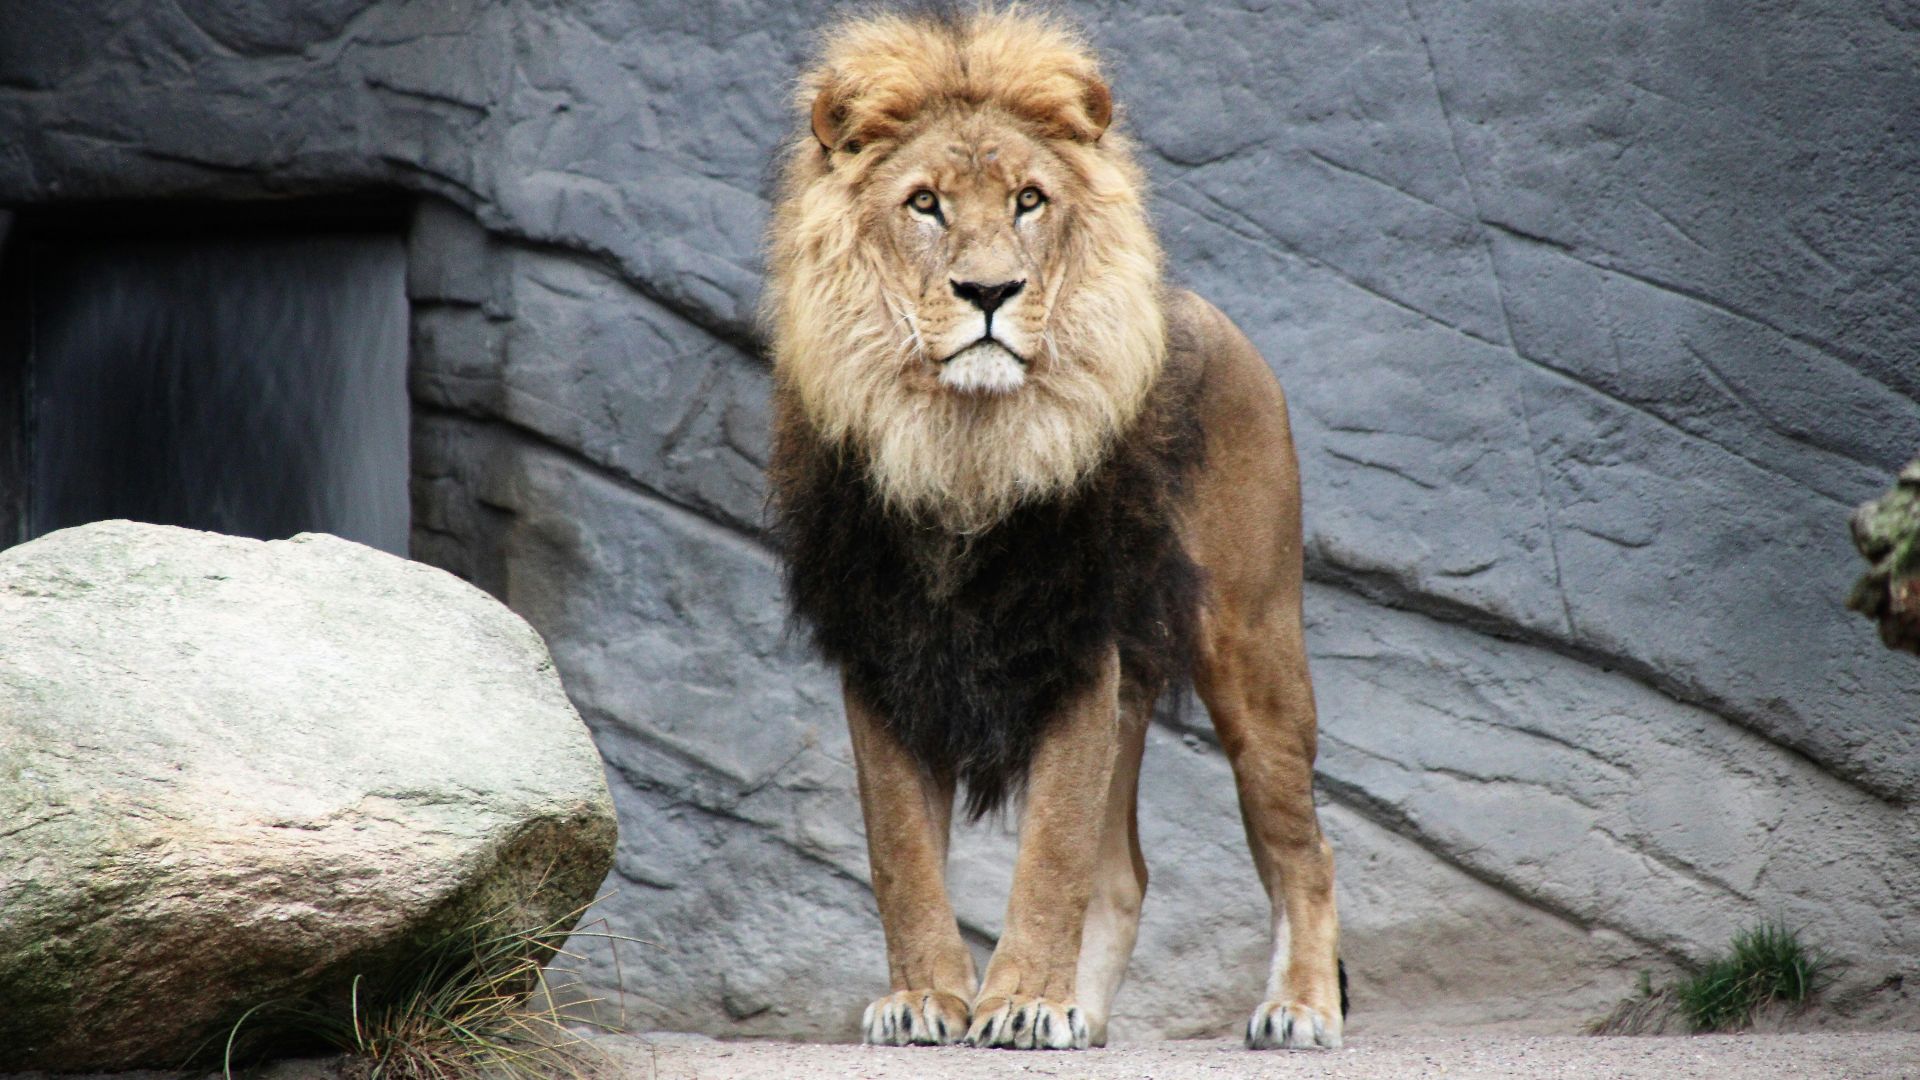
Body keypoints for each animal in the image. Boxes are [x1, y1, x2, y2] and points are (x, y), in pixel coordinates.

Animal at [765, 8, 1343, 1051]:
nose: (990, 292)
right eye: (925, 205)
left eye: (1029, 200)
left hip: (1254, 645)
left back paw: (1298, 1009)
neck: (962, 445)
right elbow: (901, 854)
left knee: (1304, 848)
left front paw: (1026, 999)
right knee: (1126, 877)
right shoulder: (881, 650)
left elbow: (1051, 856)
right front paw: (927, 998)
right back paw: (1092, 1014)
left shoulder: (1076, 641)